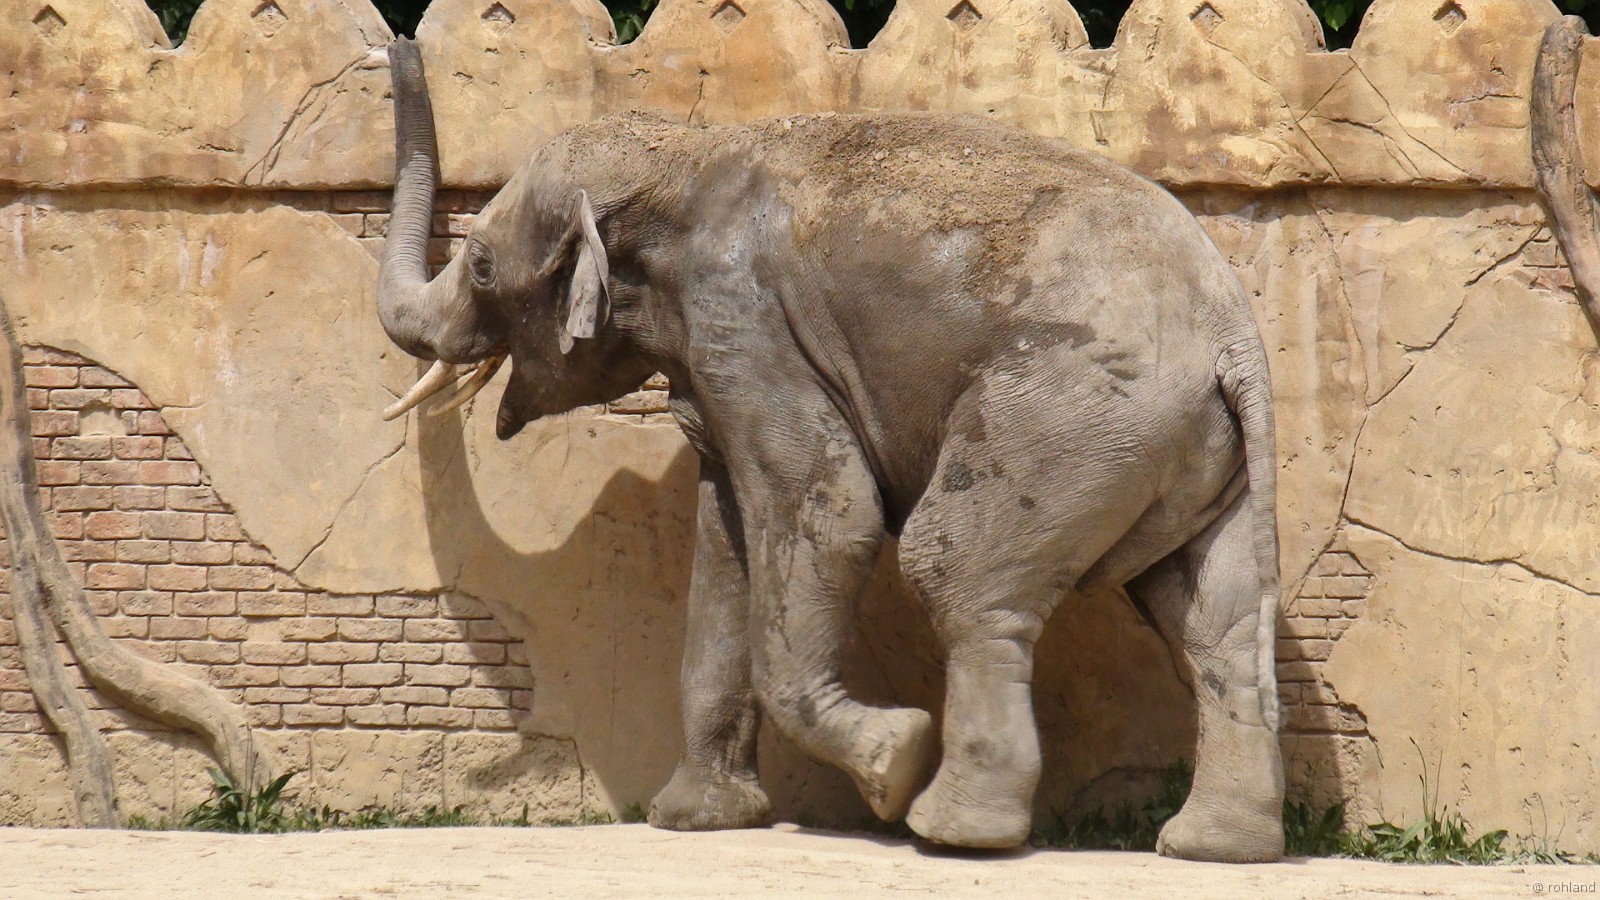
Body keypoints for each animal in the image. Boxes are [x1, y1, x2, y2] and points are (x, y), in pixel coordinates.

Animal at [374, 39, 1286, 862]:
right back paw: (1213, 849)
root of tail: (1233, 336)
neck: (680, 150)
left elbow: (830, 510)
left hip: (1068, 413)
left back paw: (951, 832)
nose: (400, 41)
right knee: (1214, 616)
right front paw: (693, 822)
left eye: (480, 267)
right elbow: (729, 553)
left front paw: (893, 760)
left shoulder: (745, 318)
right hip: (1190, 452)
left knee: (956, 569)